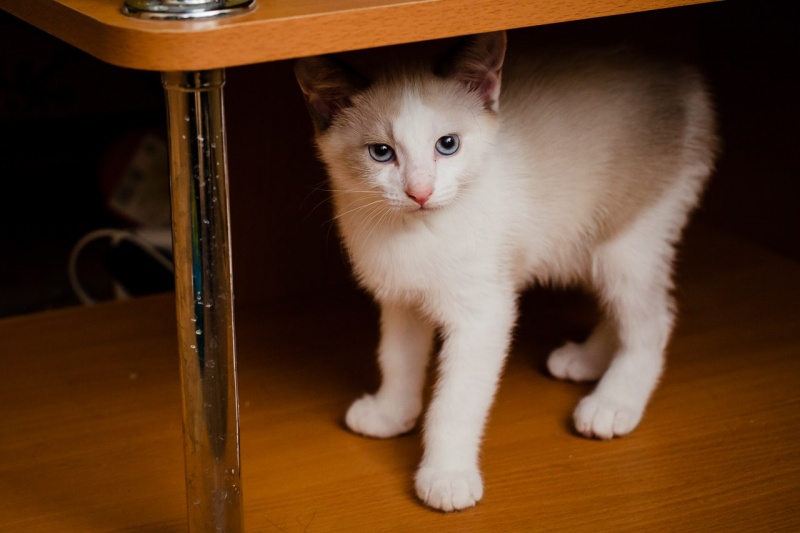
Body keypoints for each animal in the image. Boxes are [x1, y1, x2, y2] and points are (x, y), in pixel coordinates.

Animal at [295, 31, 717, 512]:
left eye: (447, 145)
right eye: (381, 153)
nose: (420, 192)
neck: (415, 233)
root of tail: (682, 73)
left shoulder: (483, 314)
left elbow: (454, 402)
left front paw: (446, 475)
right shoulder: (402, 300)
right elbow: (397, 360)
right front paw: (392, 413)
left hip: (628, 242)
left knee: (652, 322)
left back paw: (613, 403)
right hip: (593, 244)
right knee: (624, 311)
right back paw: (587, 360)